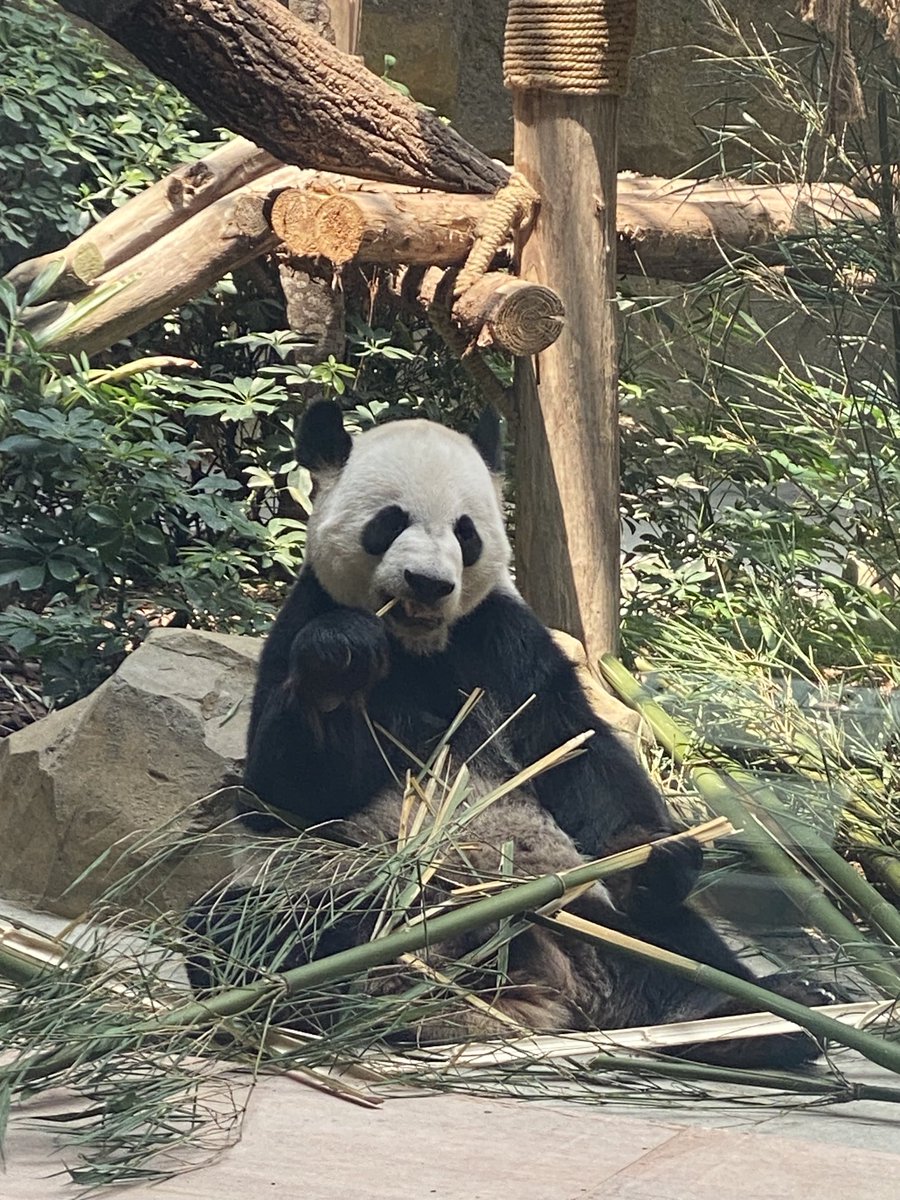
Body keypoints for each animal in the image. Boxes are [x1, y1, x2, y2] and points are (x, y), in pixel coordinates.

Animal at [193, 399, 830, 1065]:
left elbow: (574, 748)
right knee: (246, 928)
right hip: (349, 902)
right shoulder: (300, 623)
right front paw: (341, 658)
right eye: (389, 523)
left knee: (673, 938)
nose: (428, 583)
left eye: (465, 533)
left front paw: (653, 851)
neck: (418, 644)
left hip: (581, 907)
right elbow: (287, 789)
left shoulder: (504, 639)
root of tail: (540, 992)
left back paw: (759, 1014)